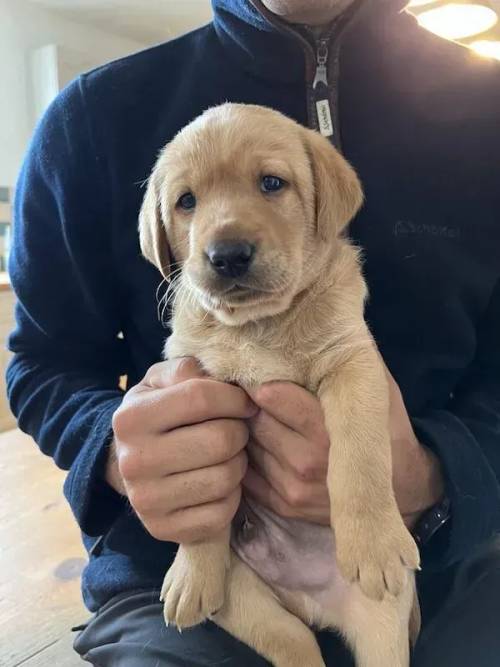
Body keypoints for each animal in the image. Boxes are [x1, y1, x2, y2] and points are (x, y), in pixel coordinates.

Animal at [139, 104, 420, 667]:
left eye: (271, 183)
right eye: (186, 201)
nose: (227, 254)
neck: (259, 325)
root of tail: (309, 600)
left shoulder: (353, 362)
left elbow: (361, 456)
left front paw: (375, 544)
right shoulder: (193, 380)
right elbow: (203, 497)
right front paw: (190, 571)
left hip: (383, 622)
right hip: (245, 601)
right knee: (294, 643)